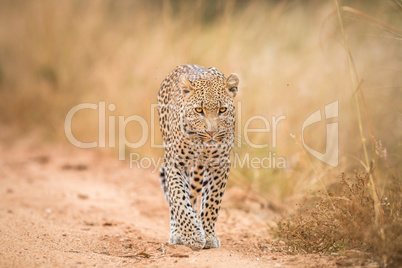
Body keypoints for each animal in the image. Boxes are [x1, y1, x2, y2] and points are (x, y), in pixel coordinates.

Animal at [157, 65, 239, 251]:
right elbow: (179, 198)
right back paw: (177, 233)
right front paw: (191, 235)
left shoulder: (220, 165)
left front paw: (207, 235)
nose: (212, 132)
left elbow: (212, 202)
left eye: (222, 110)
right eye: (199, 110)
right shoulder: (176, 164)